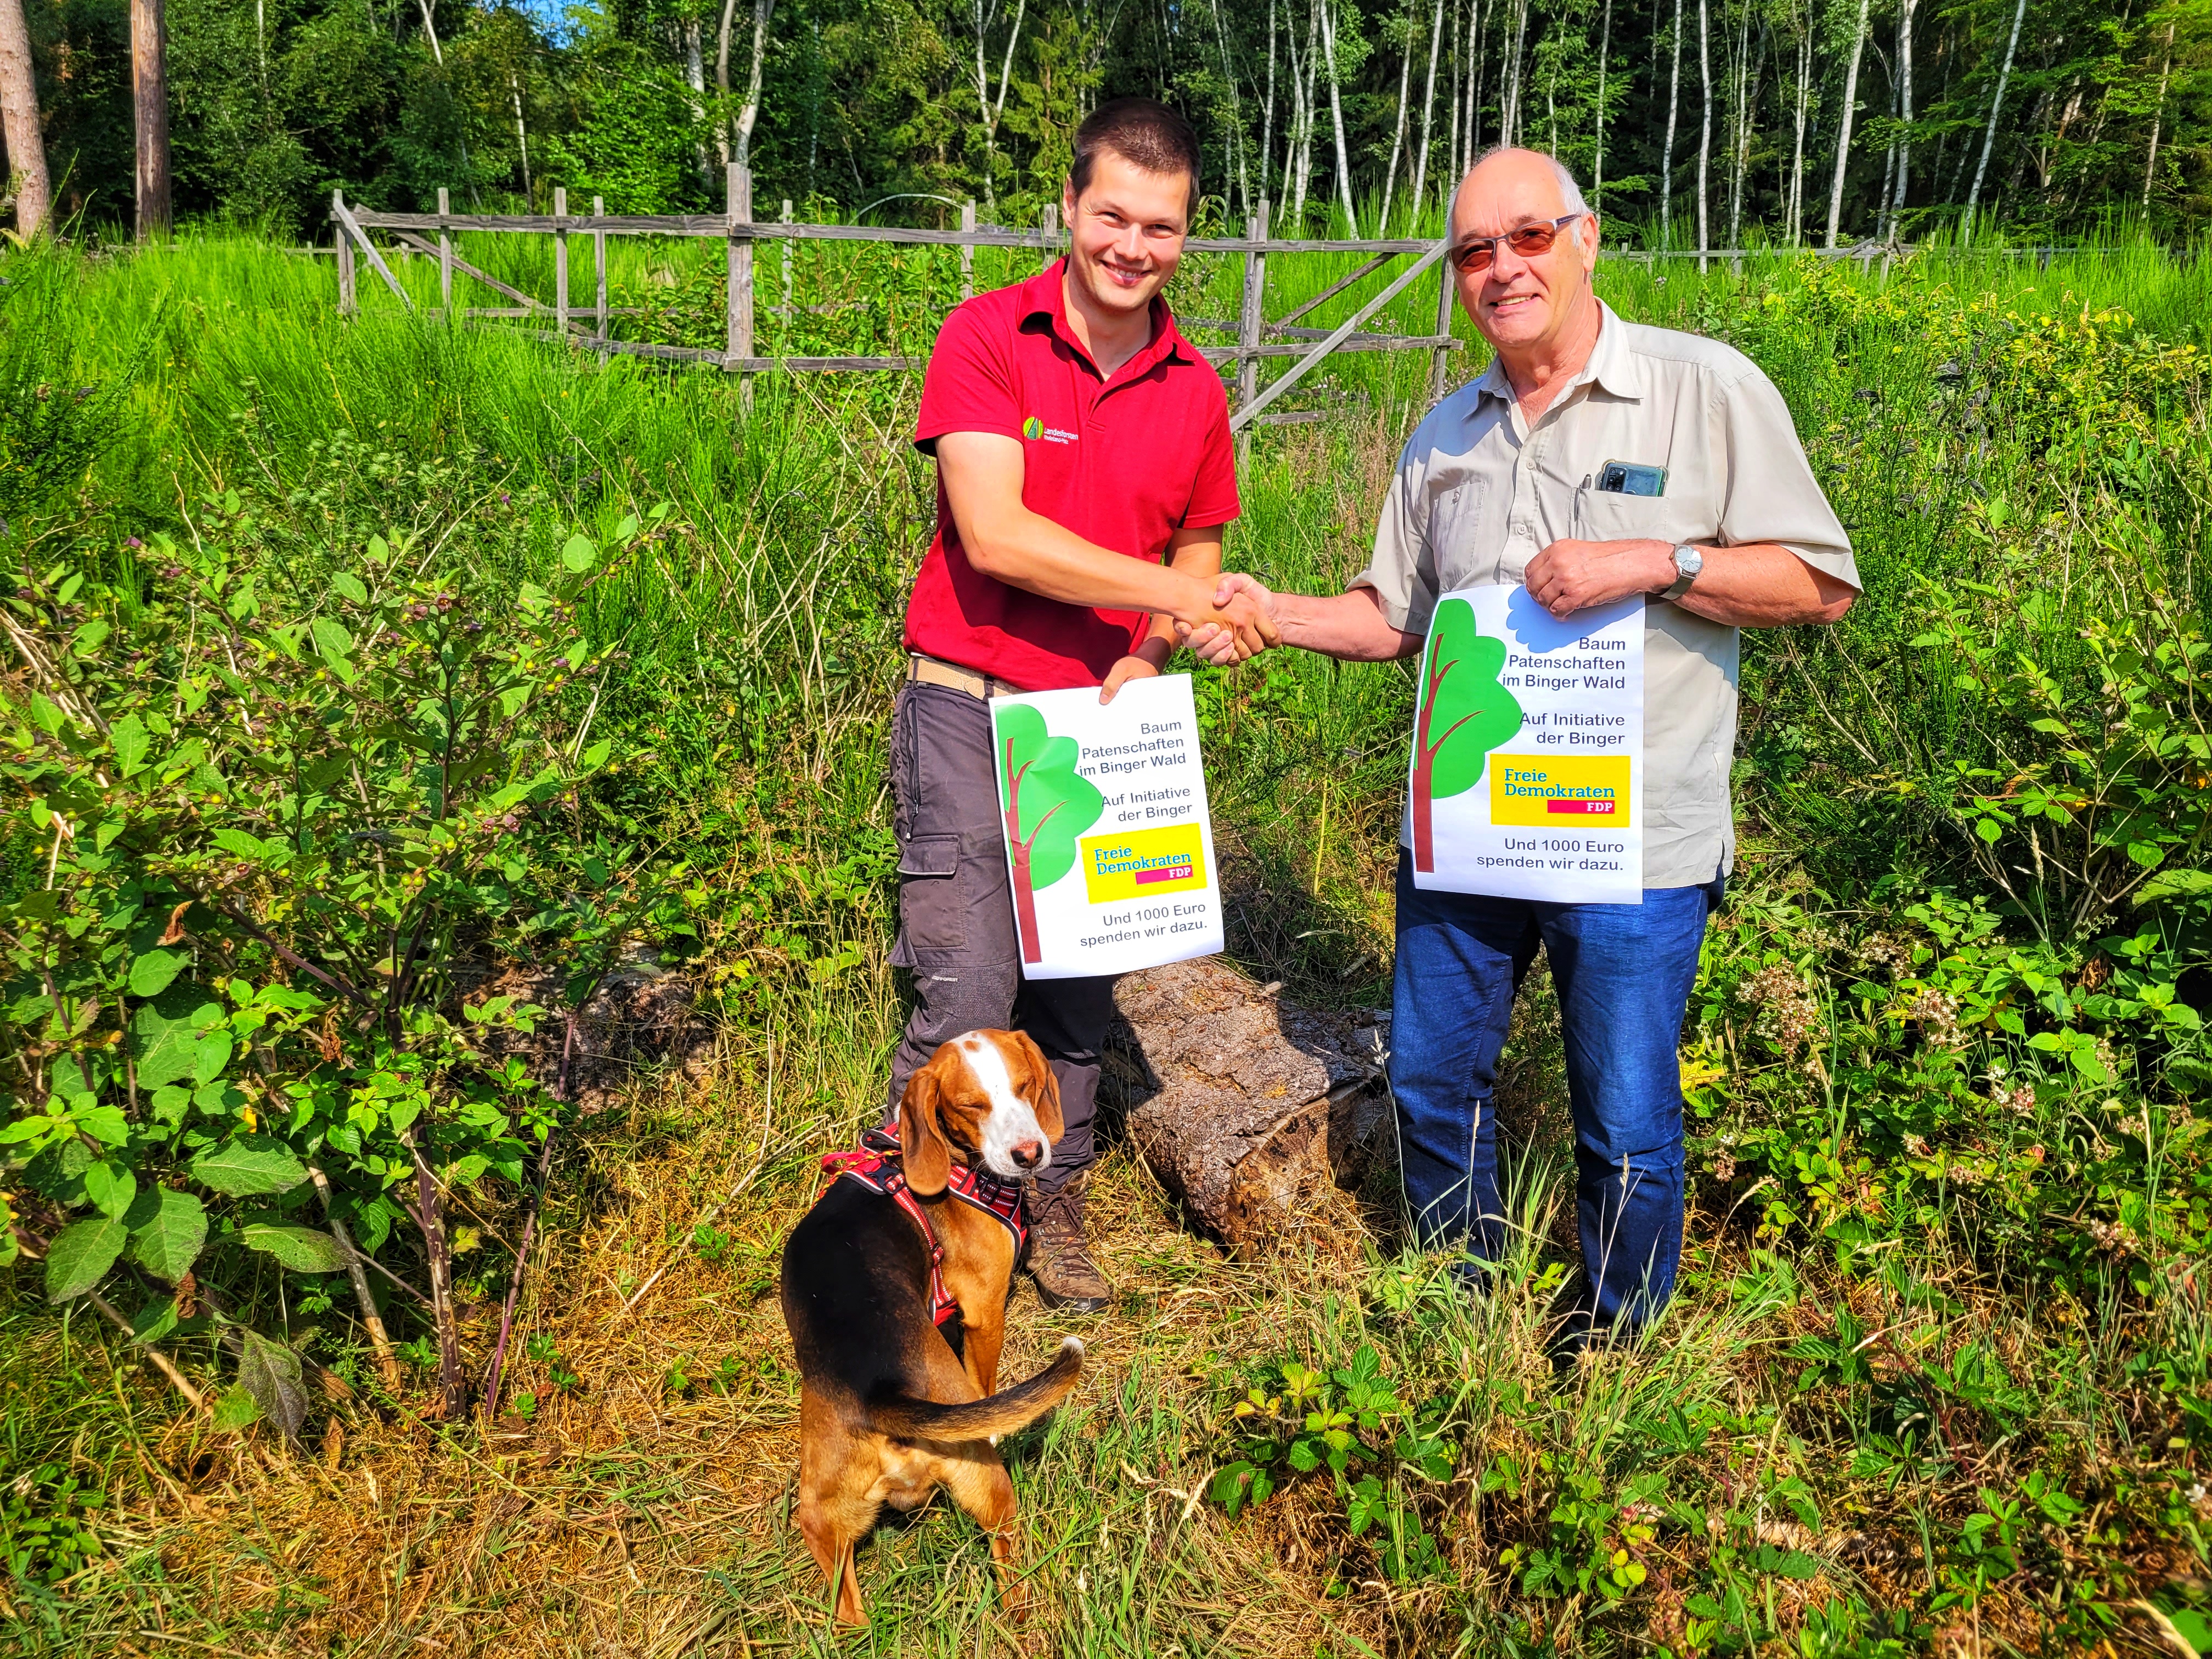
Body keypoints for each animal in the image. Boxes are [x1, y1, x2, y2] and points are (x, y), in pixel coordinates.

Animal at [783, 1035, 1084, 1628]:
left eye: (1025, 1086)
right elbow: (987, 1380)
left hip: (823, 1515)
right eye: (971, 1106)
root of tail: (882, 1397)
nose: (1030, 1154)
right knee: (1010, 1571)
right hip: (989, 1484)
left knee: (848, 1607)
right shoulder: (985, 1311)